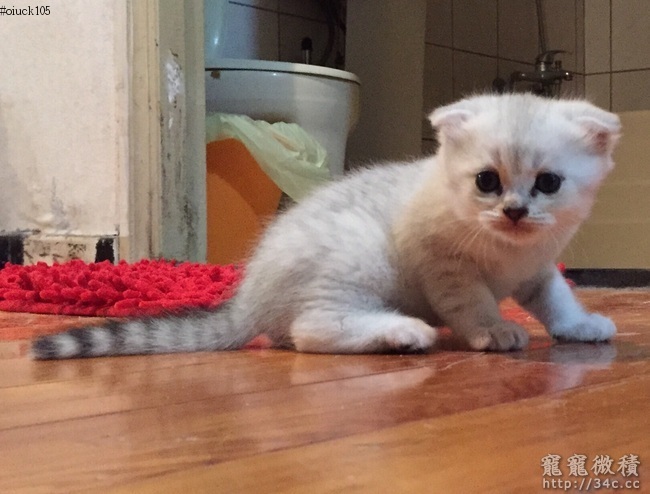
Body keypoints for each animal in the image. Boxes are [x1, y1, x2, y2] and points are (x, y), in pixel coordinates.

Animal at [32, 93, 621, 359]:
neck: (504, 250)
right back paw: (401, 332)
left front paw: (579, 324)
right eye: (487, 181)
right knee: (311, 330)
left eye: (548, 183)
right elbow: (473, 302)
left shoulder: (538, 267)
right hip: (359, 254)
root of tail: (248, 300)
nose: (514, 211)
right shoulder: (442, 264)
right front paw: (493, 329)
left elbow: (557, 298)